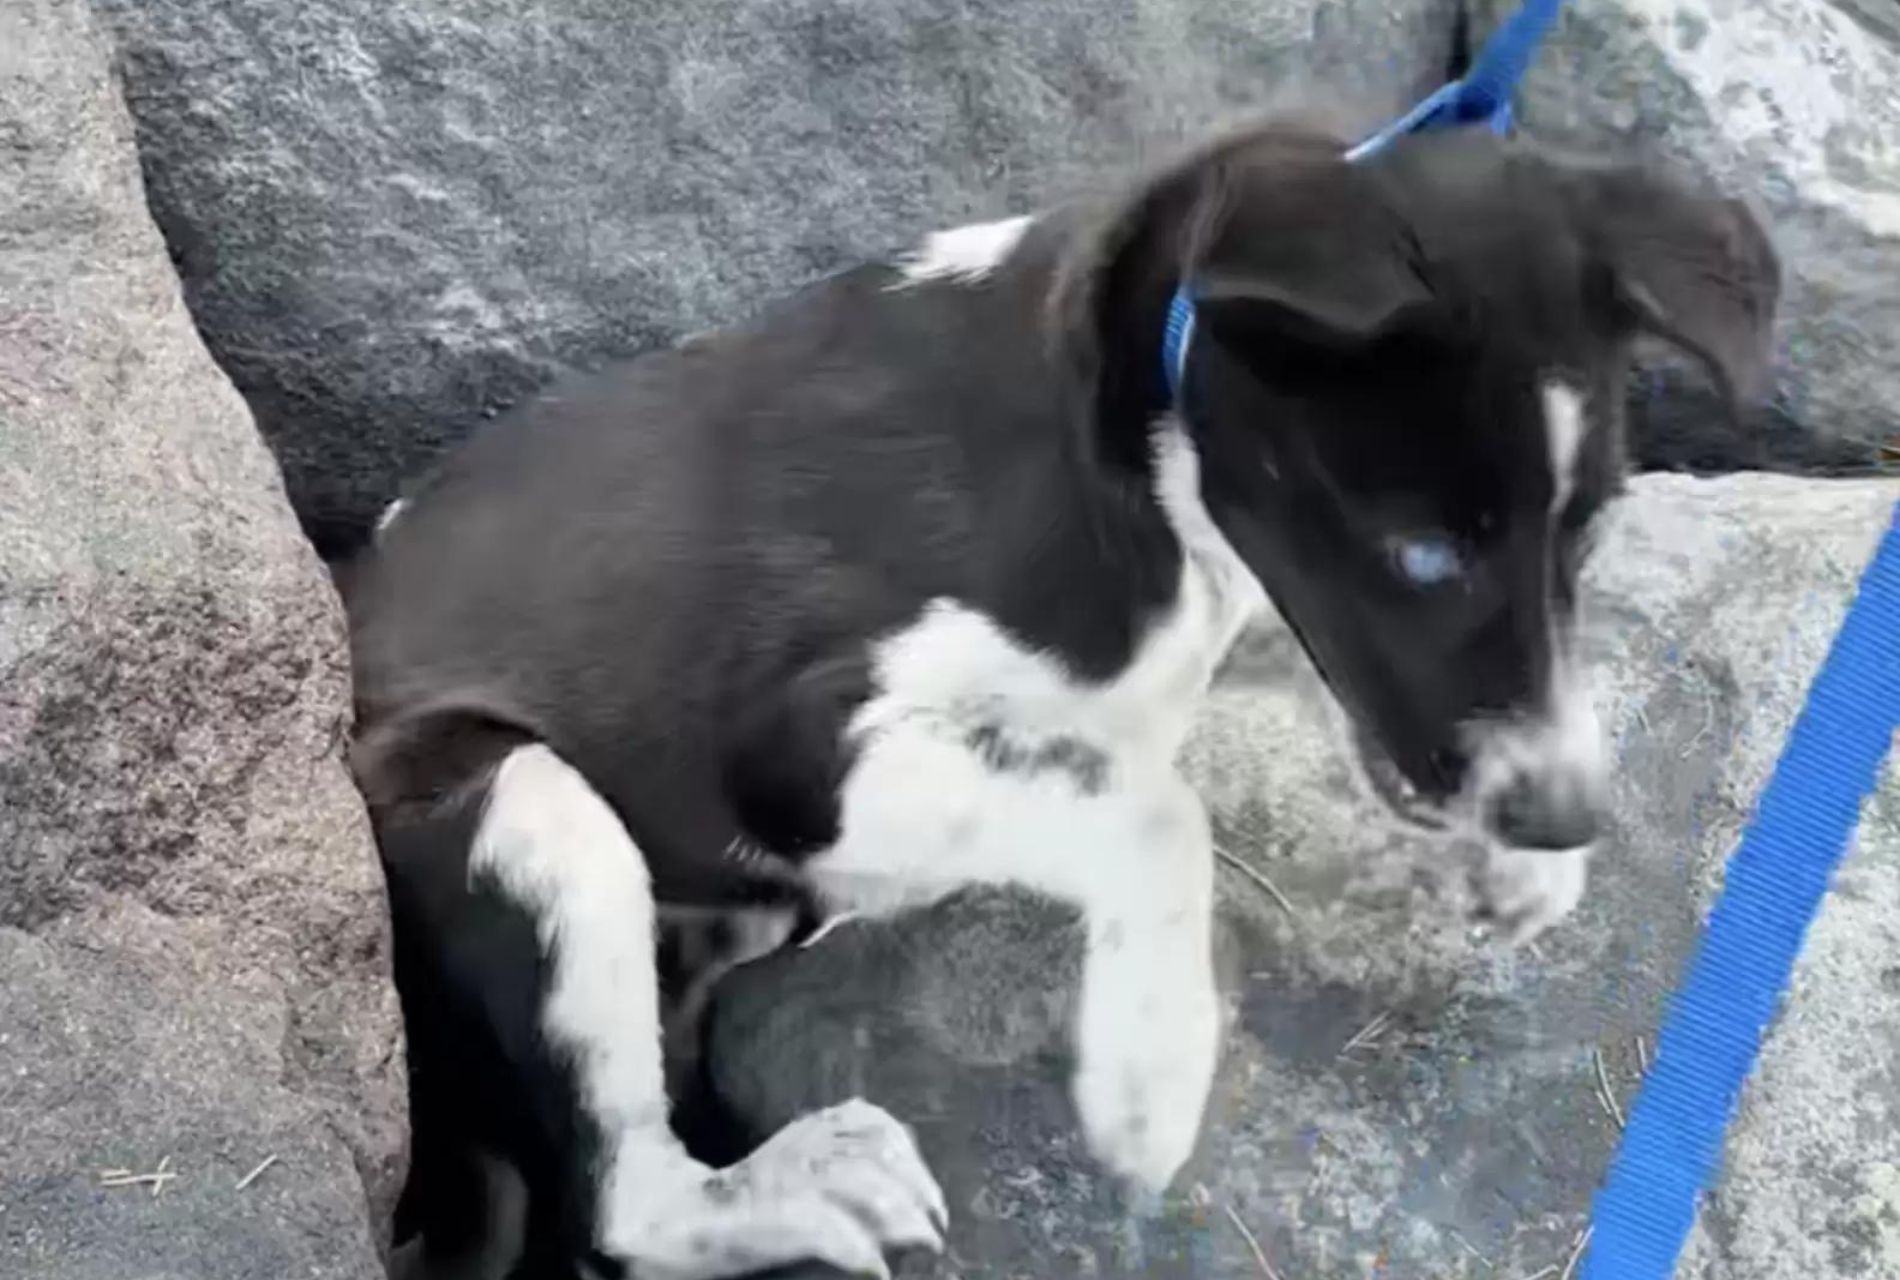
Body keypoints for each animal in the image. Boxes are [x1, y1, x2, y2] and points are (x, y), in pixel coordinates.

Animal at [345, 119, 1778, 1276]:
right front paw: (1152, 1065)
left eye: (1588, 532)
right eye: (1422, 554)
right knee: (621, 1206)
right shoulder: (797, 748)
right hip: (521, 799)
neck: (1134, 451)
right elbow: (1150, 808)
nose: (1561, 813)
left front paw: (1513, 867)